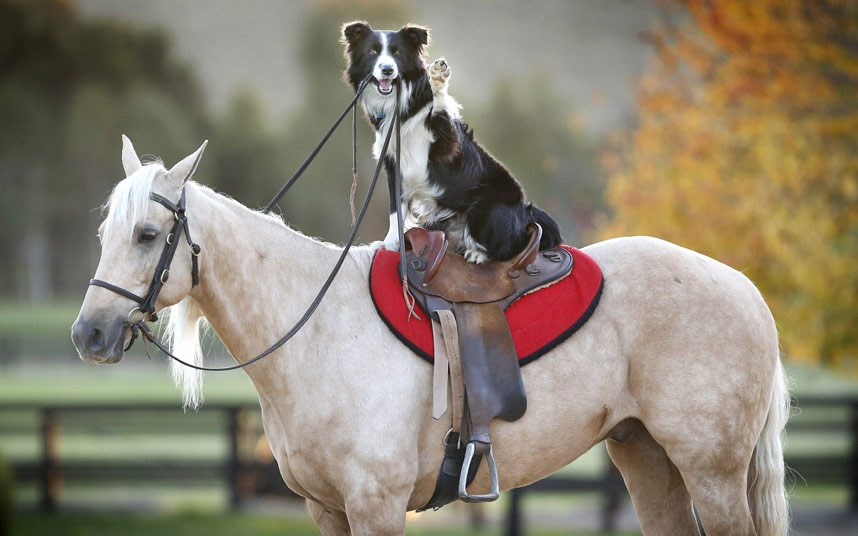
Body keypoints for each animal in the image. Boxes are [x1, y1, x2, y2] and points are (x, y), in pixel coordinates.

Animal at [70, 139, 784, 536]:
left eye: (147, 235)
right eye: (104, 233)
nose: (89, 333)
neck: (315, 334)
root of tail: (746, 291)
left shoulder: (378, 507)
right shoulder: (328, 511)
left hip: (712, 472)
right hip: (647, 458)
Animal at [342, 21, 560, 264]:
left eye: (397, 53)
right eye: (373, 52)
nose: (387, 70)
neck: (401, 105)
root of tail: (525, 211)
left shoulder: (446, 144)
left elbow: (440, 108)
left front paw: (438, 79)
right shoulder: (393, 165)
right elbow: (395, 211)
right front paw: (389, 245)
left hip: (487, 209)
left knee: (510, 248)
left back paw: (478, 254)